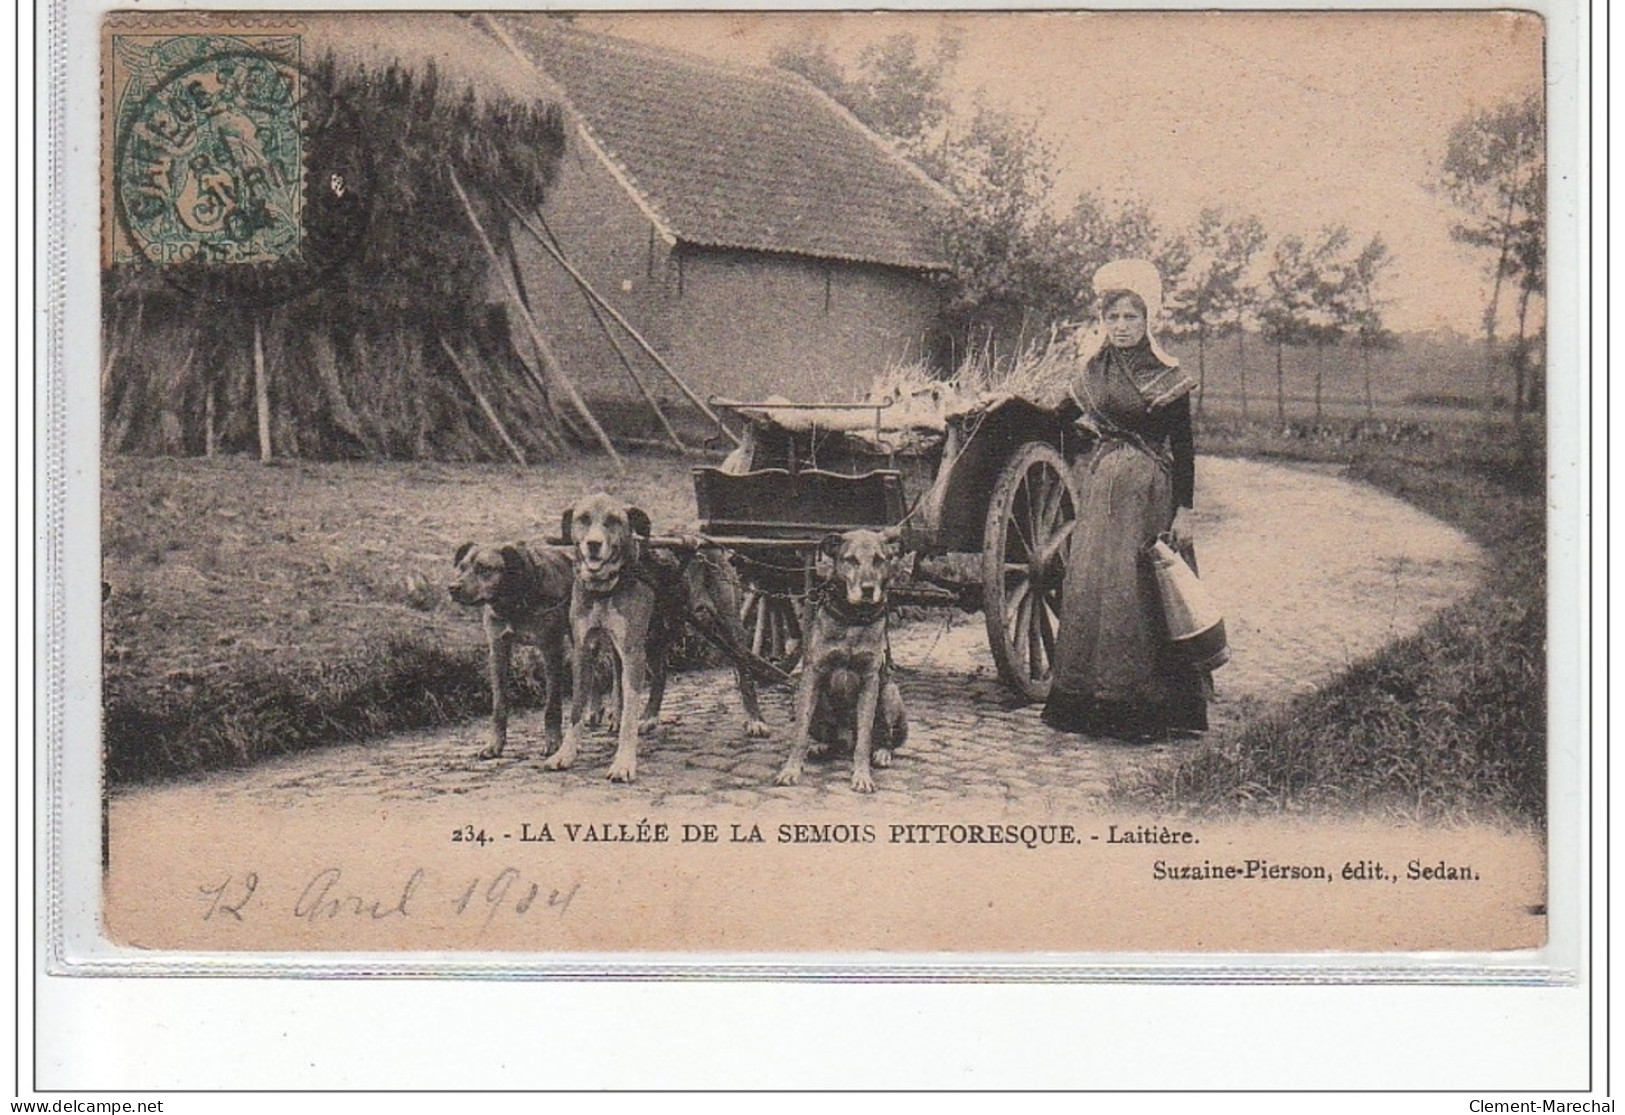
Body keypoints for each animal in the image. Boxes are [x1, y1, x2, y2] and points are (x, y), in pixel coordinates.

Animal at [448, 542, 575, 767]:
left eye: (484, 569)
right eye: (461, 567)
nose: (452, 588)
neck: (515, 600)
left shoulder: (551, 649)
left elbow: (552, 704)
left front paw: (553, 742)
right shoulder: (498, 650)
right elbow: (499, 704)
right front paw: (495, 746)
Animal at [542, 487, 770, 786]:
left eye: (614, 520)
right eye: (583, 518)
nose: (593, 544)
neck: (607, 587)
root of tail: (701, 538)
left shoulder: (631, 651)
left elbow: (628, 712)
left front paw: (623, 763)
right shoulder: (584, 650)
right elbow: (578, 708)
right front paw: (565, 754)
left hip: (730, 628)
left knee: (744, 671)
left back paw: (755, 719)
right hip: (656, 633)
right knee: (661, 674)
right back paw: (650, 716)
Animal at [776, 526, 910, 796]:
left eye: (879, 560)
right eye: (850, 560)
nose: (868, 589)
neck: (853, 618)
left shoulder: (870, 680)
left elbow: (865, 738)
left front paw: (862, 776)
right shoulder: (813, 675)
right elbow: (800, 732)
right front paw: (791, 769)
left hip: (889, 692)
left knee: (883, 737)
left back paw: (882, 753)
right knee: (831, 741)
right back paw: (820, 747)